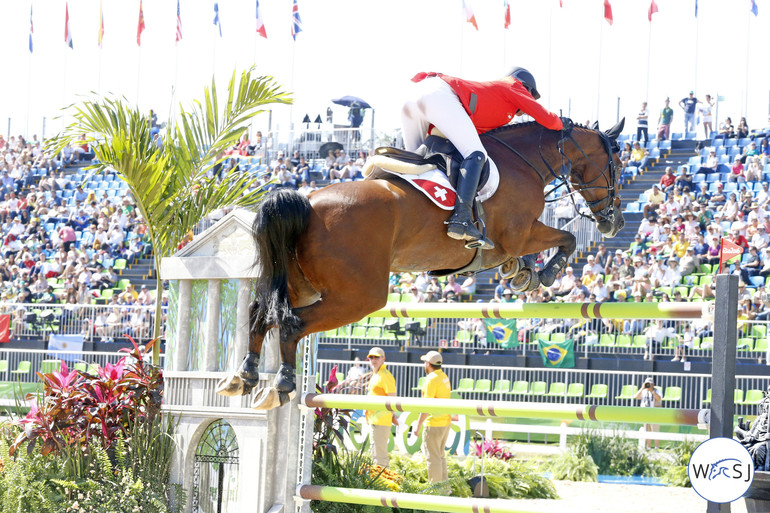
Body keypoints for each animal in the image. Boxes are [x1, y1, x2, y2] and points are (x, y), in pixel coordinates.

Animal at [216, 117, 624, 408]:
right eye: (617, 164)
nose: (615, 222)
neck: (524, 161)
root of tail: (306, 201)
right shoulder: (520, 233)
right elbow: (567, 239)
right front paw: (546, 273)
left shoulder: (512, 241)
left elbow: (532, 252)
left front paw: (522, 273)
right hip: (360, 297)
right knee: (290, 324)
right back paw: (281, 383)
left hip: (302, 286)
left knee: (260, 314)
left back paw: (245, 376)